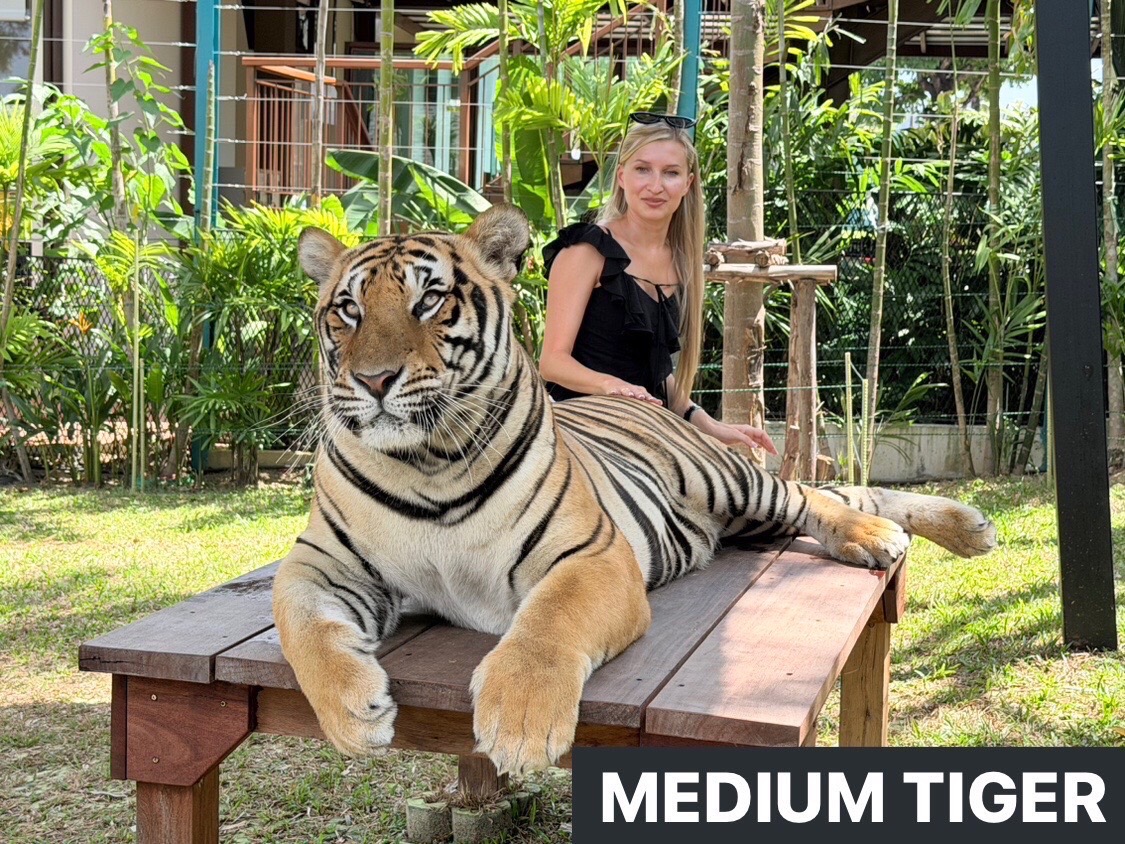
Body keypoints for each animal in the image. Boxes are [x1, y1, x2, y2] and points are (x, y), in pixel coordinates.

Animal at [272, 204, 997, 776]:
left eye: (429, 299)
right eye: (347, 310)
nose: (373, 380)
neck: (428, 462)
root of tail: (654, 403)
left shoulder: (589, 555)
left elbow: (545, 626)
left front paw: (521, 722)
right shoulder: (319, 563)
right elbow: (304, 631)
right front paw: (352, 714)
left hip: (730, 482)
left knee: (815, 497)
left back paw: (897, 536)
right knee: (845, 496)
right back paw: (964, 526)